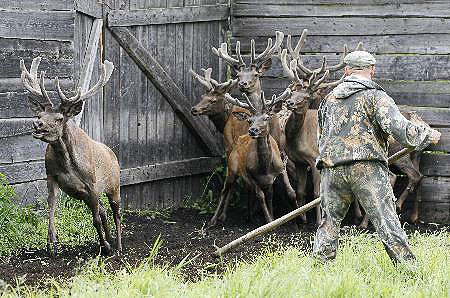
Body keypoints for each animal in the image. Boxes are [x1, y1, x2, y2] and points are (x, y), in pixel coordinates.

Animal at [20, 57, 121, 255]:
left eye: (59, 118)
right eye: (40, 114)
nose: (37, 124)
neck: (67, 162)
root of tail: (113, 154)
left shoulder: (92, 184)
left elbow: (95, 219)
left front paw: (105, 246)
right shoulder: (52, 176)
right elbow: (51, 208)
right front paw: (52, 240)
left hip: (114, 186)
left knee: (116, 213)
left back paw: (119, 245)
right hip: (85, 196)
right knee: (104, 211)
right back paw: (110, 240)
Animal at [209, 88, 298, 226]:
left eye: (266, 118)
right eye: (249, 120)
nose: (253, 130)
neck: (265, 168)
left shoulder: (279, 169)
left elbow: (285, 192)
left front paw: (298, 218)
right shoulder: (249, 174)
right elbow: (260, 196)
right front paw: (269, 221)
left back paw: (248, 216)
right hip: (231, 168)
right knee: (225, 189)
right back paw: (214, 219)